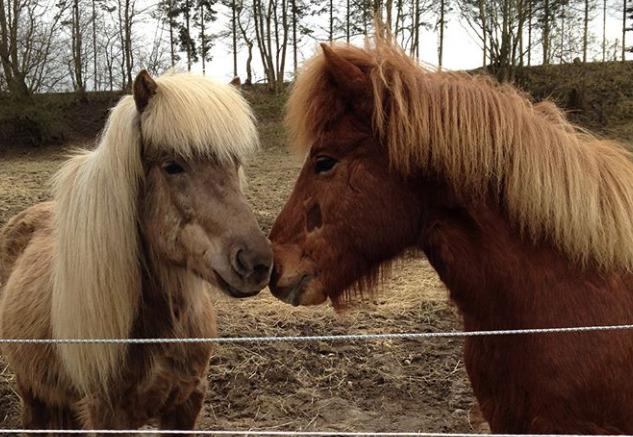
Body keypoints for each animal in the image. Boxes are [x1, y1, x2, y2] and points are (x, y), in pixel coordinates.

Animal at [0, 70, 272, 430]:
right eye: (172, 166)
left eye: (235, 163)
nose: (257, 263)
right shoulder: (108, 414)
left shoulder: (187, 403)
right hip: (31, 392)